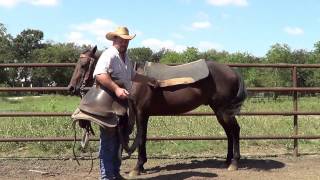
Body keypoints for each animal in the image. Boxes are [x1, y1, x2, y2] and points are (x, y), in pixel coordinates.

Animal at [67, 45, 248, 176]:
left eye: (83, 65)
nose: (71, 88)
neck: (135, 81)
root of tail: (232, 71)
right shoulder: (143, 114)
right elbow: (143, 137)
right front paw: (141, 165)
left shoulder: (141, 113)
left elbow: (141, 138)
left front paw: (137, 167)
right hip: (219, 111)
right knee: (229, 132)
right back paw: (227, 161)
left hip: (223, 111)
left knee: (235, 131)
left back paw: (234, 163)